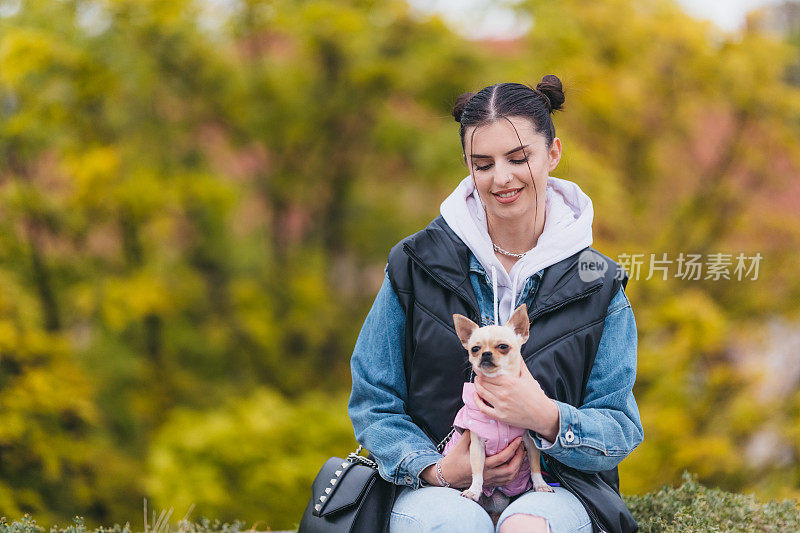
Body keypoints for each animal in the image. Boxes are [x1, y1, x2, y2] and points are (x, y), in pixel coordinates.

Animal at [446, 302, 552, 510]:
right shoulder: (477, 446)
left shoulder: (530, 442)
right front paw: (473, 490)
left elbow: (535, 466)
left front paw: (540, 485)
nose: (485, 354)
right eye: (475, 349)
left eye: (503, 347)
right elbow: (477, 470)